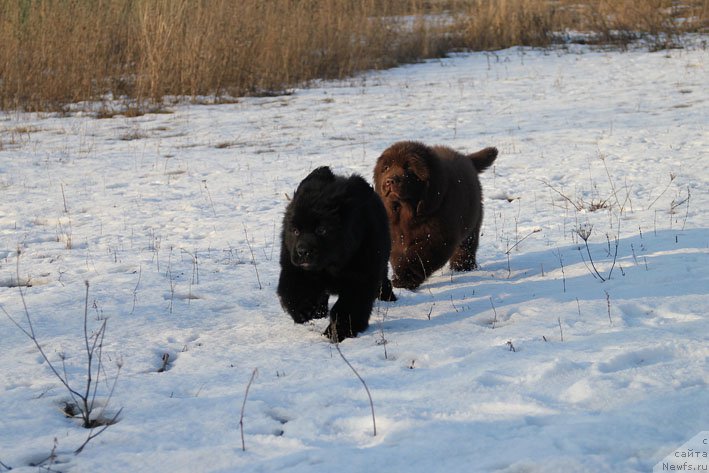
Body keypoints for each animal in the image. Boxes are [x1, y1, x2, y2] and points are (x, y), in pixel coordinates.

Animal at [276, 168, 396, 342]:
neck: (331, 266)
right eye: (295, 231)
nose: (302, 251)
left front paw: (338, 332)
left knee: (383, 279)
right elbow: (294, 291)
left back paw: (388, 296)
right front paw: (305, 311)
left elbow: (347, 308)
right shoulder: (294, 266)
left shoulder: (361, 277)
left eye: (321, 230)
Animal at [374, 141, 496, 288]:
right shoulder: (396, 234)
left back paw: (462, 267)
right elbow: (398, 255)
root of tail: (467, 158)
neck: (408, 211)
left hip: (472, 222)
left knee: (466, 246)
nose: (389, 181)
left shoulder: (437, 235)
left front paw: (404, 280)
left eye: (408, 168)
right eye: (386, 168)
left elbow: (418, 257)